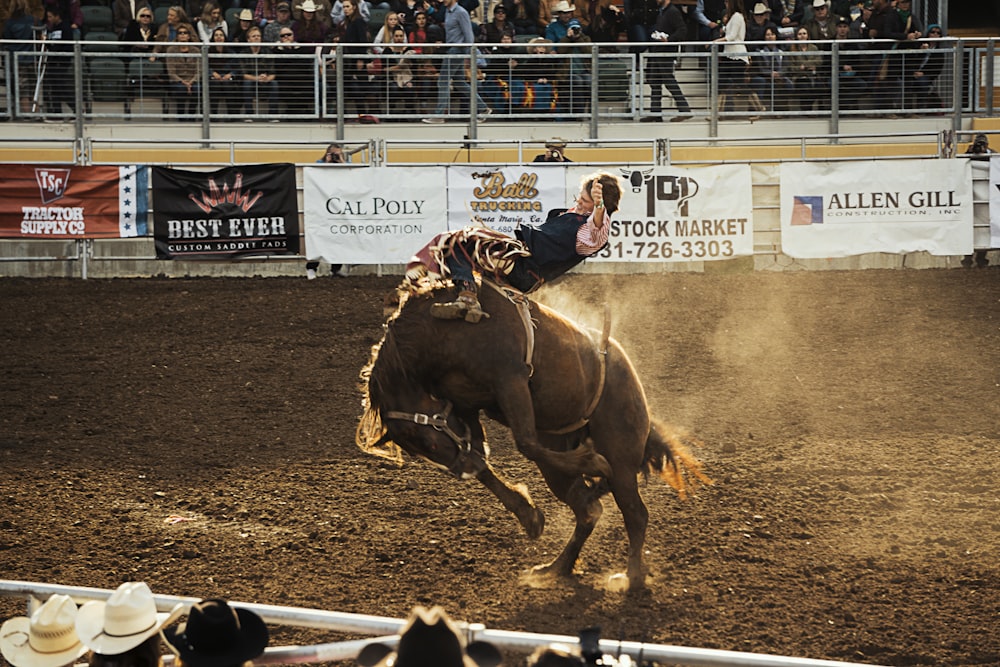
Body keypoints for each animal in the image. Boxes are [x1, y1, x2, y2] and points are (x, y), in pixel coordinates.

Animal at [356, 280, 708, 592]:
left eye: (428, 441)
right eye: (419, 450)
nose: (461, 471)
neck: (441, 332)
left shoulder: (510, 380)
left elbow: (524, 442)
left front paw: (591, 462)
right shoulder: (464, 405)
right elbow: (484, 459)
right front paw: (529, 516)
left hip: (621, 454)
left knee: (635, 514)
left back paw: (632, 577)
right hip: (559, 468)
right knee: (588, 510)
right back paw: (556, 567)